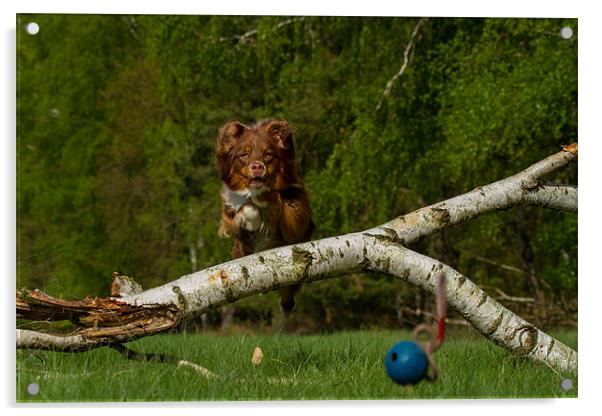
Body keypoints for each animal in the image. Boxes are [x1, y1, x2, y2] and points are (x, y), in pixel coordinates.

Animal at [213, 118, 314, 314]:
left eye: (268, 155)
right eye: (244, 155)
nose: (257, 166)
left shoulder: (297, 217)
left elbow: (278, 201)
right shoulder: (230, 213)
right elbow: (242, 213)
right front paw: (247, 218)